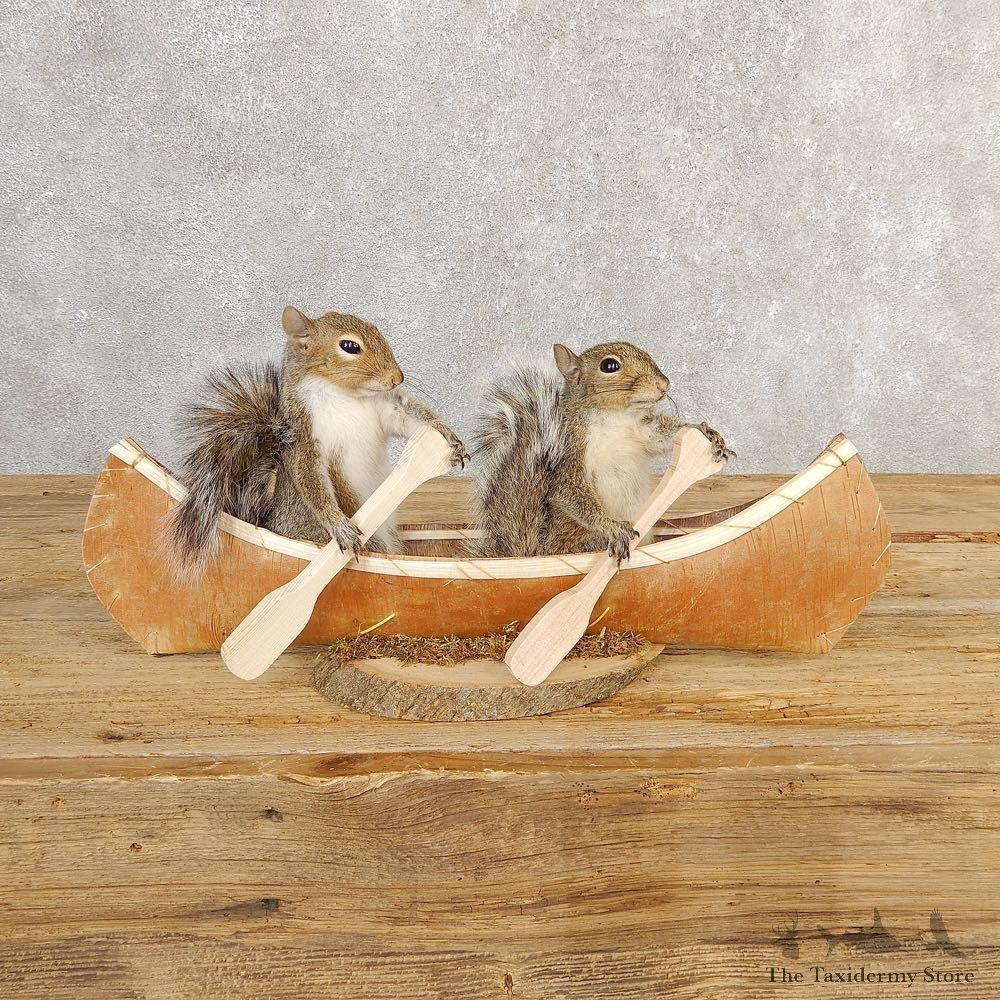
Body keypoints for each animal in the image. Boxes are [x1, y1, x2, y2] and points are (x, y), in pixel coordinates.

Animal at [166, 306, 468, 579]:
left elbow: (409, 420)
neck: (345, 395)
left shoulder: (384, 410)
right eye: (349, 346)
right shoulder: (304, 437)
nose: (397, 378)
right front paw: (339, 526)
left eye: (378, 332)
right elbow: (312, 481)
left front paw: (449, 439)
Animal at [473, 341, 731, 561]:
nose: (664, 385)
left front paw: (704, 431)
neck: (614, 418)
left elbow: (661, 437)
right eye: (609, 366)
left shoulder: (642, 430)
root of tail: (539, 552)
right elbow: (570, 493)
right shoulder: (569, 451)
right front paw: (612, 527)